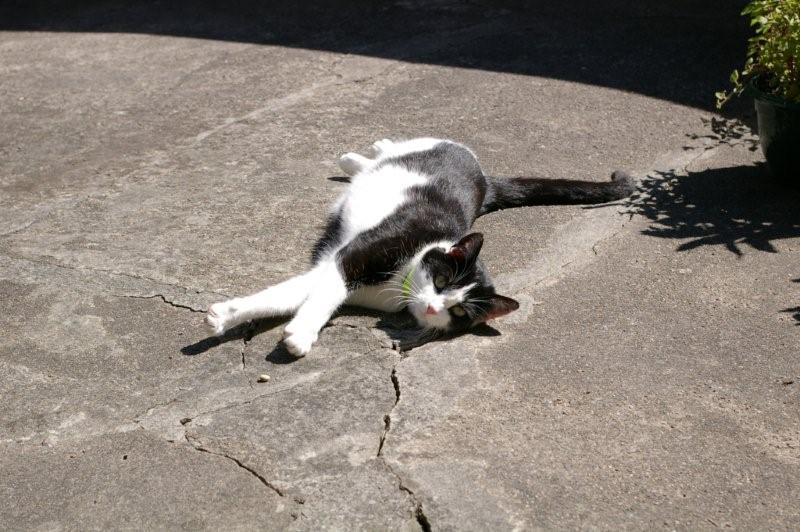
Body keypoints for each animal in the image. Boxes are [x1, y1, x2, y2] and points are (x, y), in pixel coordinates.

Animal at [205, 138, 634, 356]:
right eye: (442, 280)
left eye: (458, 312)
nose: (432, 307)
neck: (400, 280)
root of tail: (485, 180)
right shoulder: (349, 259)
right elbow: (311, 295)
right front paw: (297, 333)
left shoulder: (331, 270)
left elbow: (294, 294)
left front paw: (232, 315)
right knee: (394, 149)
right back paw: (366, 152)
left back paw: (356, 160)